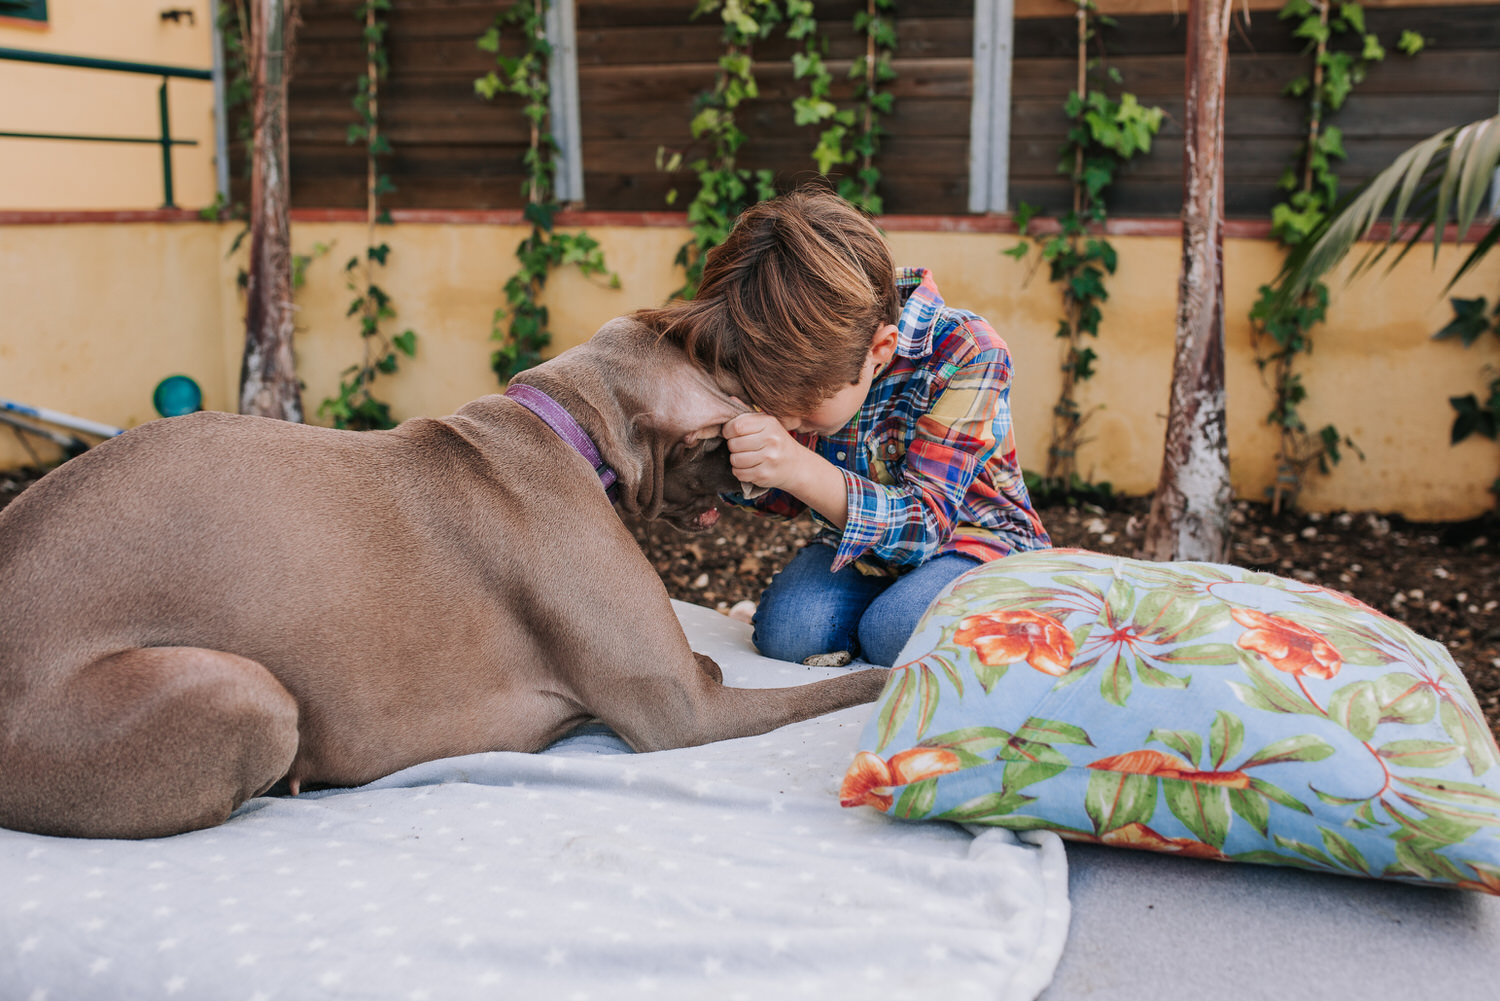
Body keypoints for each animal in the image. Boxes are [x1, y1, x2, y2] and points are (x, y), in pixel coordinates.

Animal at [0, 319, 888, 840]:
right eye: (725, 419)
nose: (764, 463)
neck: (564, 427)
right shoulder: (681, 715)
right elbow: (820, 688)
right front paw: (879, 677)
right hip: (242, 691)